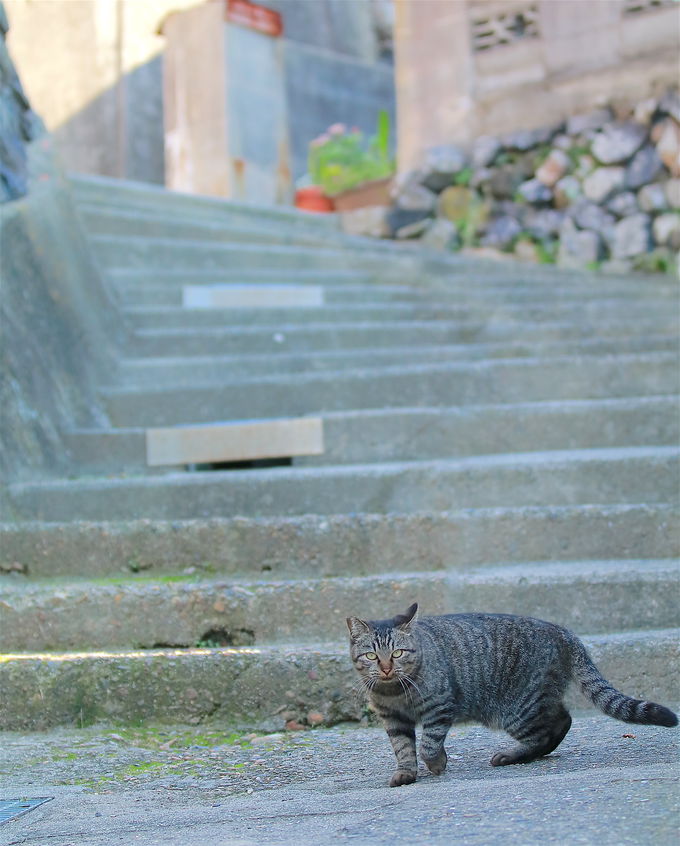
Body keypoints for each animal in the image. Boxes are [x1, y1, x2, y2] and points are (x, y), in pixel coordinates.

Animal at [348, 604, 676, 788]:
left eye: (397, 653)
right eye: (371, 656)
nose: (387, 668)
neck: (394, 691)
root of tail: (561, 630)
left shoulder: (439, 706)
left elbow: (428, 744)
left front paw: (437, 764)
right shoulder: (393, 719)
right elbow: (403, 748)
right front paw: (406, 773)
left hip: (517, 709)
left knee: (553, 726)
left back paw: (511, 756)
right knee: (562, 720)